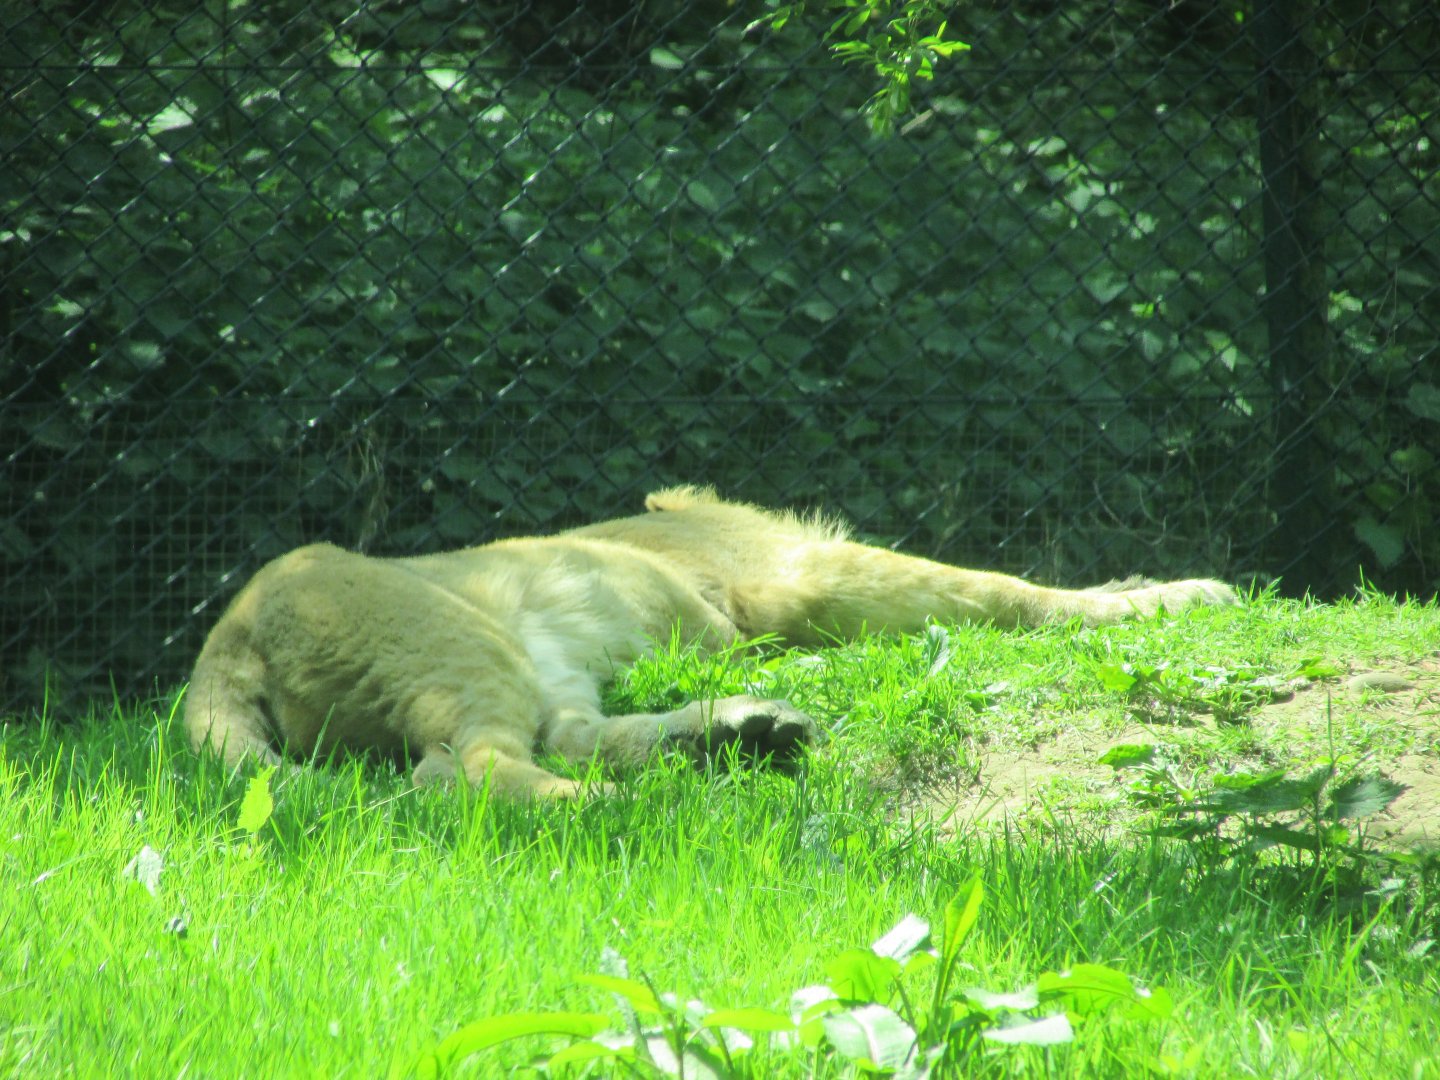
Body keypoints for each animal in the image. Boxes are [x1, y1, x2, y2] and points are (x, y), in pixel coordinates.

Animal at [185, 485, 1236, 797]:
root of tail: (223, 641)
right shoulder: (802, 572)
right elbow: (1002, 590)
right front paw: (1181, 595)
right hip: (460, 639)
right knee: (463, 770)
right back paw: (626, 813)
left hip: (537, 662)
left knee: (567, 736)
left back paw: (746, 734)